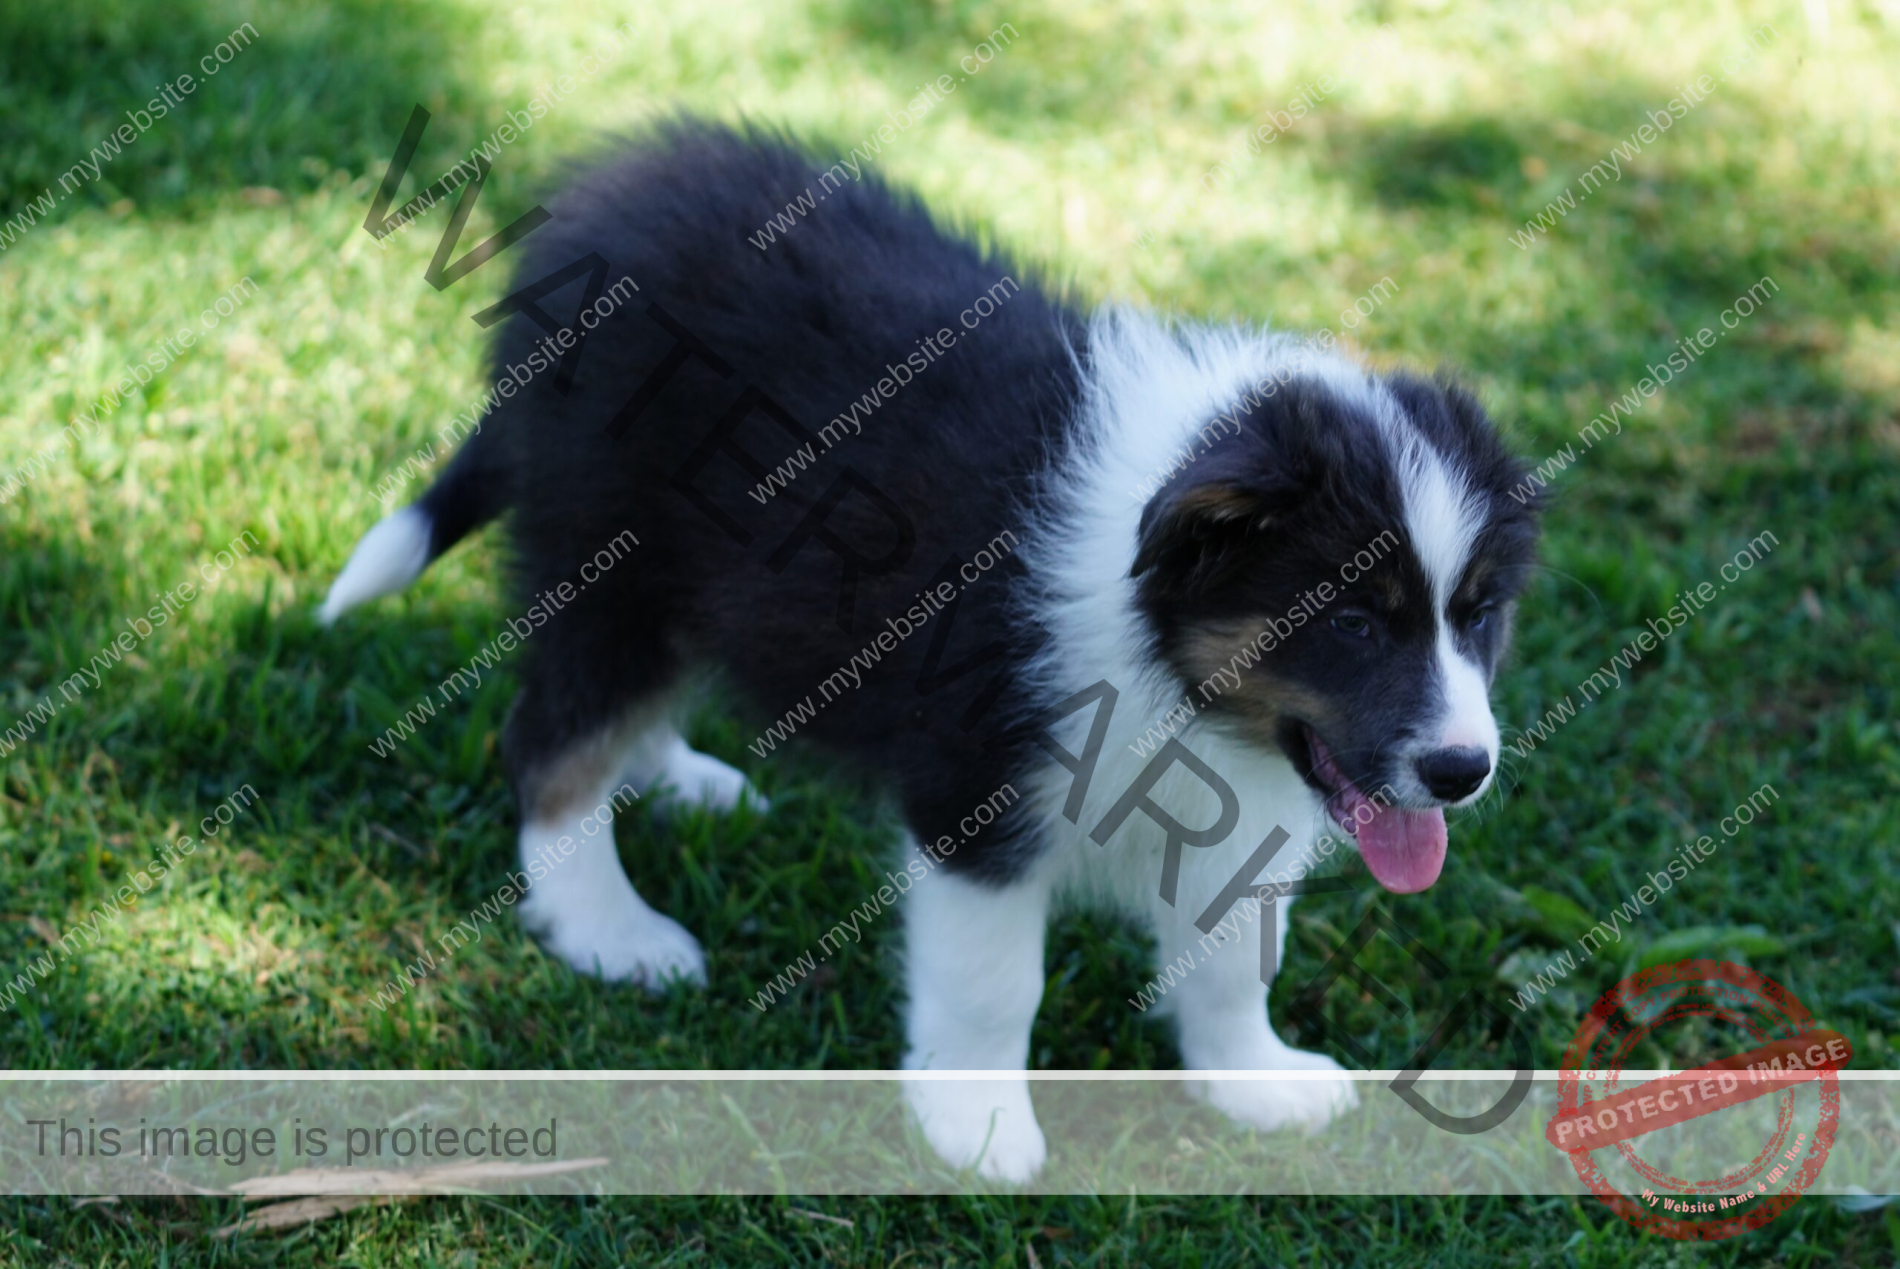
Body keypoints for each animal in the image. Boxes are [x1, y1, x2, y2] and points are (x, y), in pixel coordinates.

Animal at [319, 118, 1535, 1177]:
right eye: (1351, 621)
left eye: (1476, 614)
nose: (1462, 771)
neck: (1164, 656)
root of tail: (597, 203)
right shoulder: (975, 783)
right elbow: (994, 982)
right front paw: (980, 1130)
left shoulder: (1224, 803)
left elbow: (1233, 957)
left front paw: (1253, 1081)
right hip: (606, 556)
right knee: (553, 744)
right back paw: (610, 928)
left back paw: (679, 782)